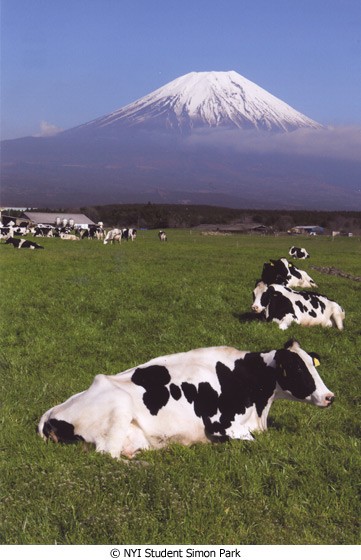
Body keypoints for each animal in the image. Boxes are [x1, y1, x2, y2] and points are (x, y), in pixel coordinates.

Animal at [38, 336, 334, 460]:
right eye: (298, 369)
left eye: (313, 364)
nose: (329, 396)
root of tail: (52, 413)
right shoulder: (221, 425)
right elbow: (251, 441)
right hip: (119, 408)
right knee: (105, 456)